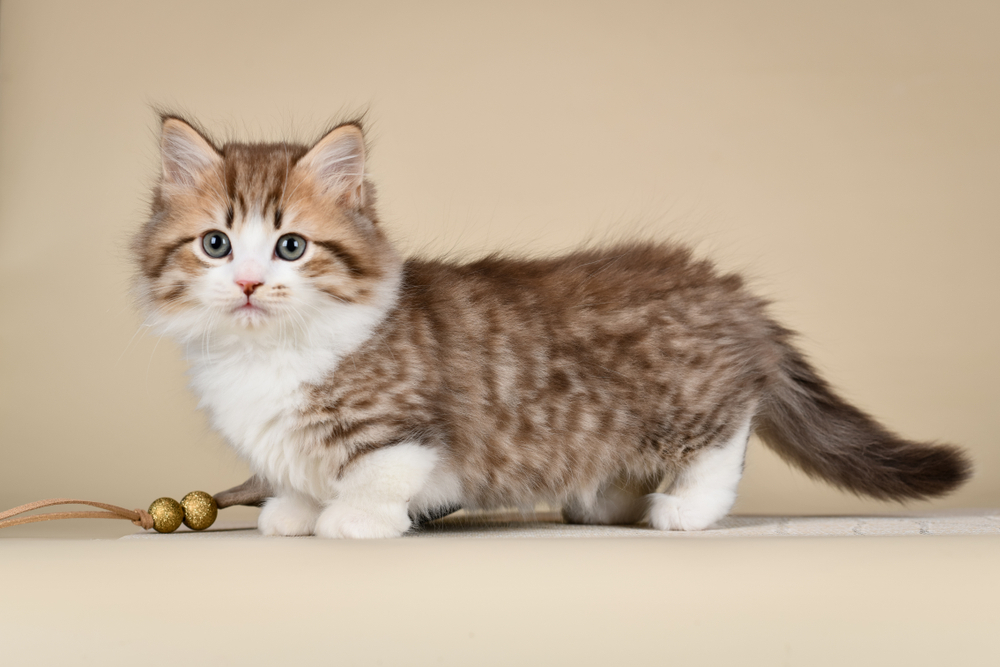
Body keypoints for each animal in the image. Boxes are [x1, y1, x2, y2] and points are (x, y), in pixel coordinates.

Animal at [133, 116, 968, 536]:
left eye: (291, 246)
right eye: (216, 243)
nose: (248, 282)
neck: (265, 354)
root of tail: (719, 285)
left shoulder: (406, 429)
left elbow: (374, 473)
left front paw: (349, 518)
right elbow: (302, 470)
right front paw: (297, 510)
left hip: (691, 399)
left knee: (726, 435)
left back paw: (684, 507)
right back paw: (607, 498)